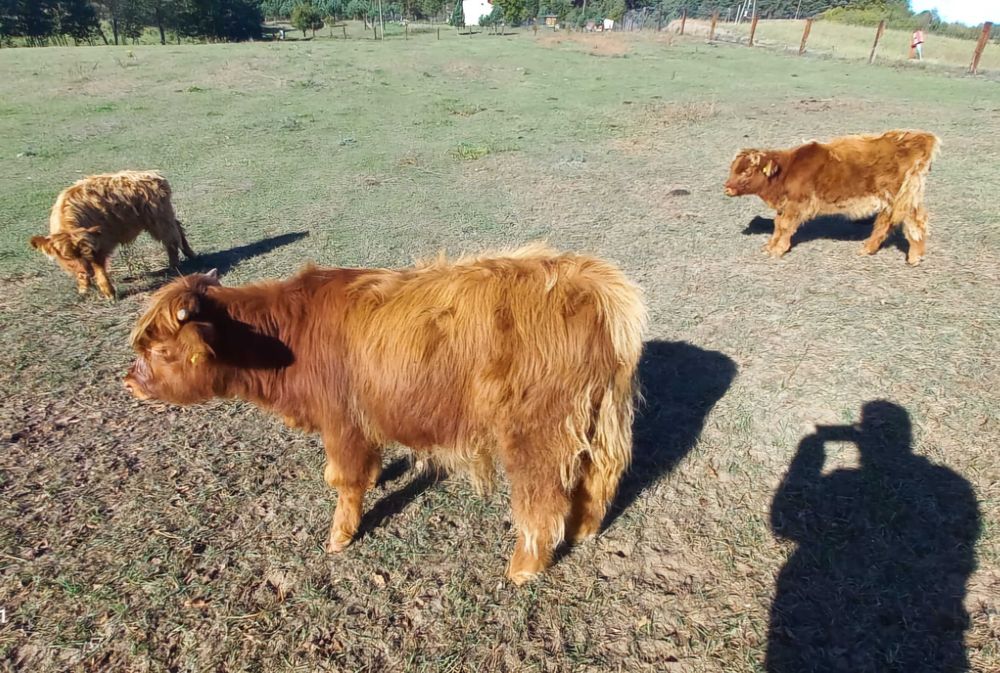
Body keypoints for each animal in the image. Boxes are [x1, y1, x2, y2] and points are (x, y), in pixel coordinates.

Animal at [30, 170, 195, 299]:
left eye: (86, 252)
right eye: (67, 257)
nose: (86, 271)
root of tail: (154, 175)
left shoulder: (100, 244)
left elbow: (99, 267)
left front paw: (108, 292)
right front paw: (84, 288)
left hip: (158, 219)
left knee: (171, 239)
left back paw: (174, 265)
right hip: (163, 217)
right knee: (178, 228)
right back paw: (189, 253)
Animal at [124, 245, 647, 584]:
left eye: (162, 352)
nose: (129, 381)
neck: (289, 338)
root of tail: (594, 284)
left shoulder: (341, 421)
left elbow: (344, 479)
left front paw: (339, 536)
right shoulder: (363, 420)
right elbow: (365, 468)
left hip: (536, 435)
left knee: (542, 501)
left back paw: (522, 569)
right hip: (599, 422)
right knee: (599, 479)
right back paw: (584, 532)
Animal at [724, 130, 940, 265]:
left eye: (747, 171)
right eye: (733, 168)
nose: (727, 188)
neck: (787, 171)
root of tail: (920, 137)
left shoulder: (796, 205)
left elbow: (785, 226)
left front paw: (778, 250)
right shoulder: (785, 206)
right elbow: (777, 225)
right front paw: (769, 246)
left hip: (904, 196)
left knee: (916, 221)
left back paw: (914, 257)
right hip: (891, 201)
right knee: (884, 223)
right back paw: (867, 249)